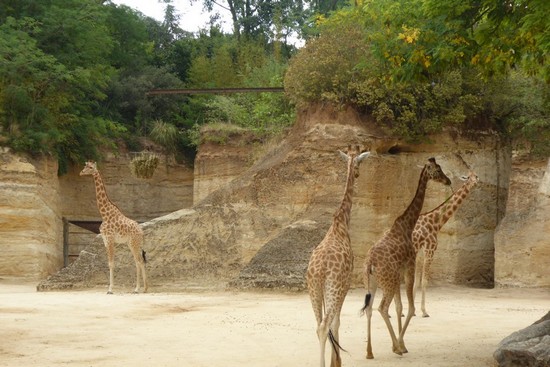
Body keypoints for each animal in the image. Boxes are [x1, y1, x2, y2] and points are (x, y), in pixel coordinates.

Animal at [80, 162, 149, 294]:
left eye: (90, 167)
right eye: (85, 166)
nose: (81, 172)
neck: (104, 214)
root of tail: (141, 232)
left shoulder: (110, 239)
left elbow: (111, 264)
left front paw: (110, 289)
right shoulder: (106, 240)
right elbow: (109, 263)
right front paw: (110, 288)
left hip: (133, 243)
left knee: (138, 262)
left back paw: (137, 289)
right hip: (133, 244)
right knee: (141, 261)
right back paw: (144, 289)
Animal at [306, 147, 370, 367]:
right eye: (360, 163)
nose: (358, 173)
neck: (341, 223)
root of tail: (319, 271)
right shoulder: (346, 284)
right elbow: (337, 322)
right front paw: (337, 361)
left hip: (314, 290)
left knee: (318, 325)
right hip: (332, 288)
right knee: (325, 325)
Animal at [362, 157, 452, 360]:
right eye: (438, 170)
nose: (448, 180)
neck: (407, 225)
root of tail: (370, 264)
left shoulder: (401, 270)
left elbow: (400, 307)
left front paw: (400, 344)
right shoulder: (409, 266)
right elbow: (409, 308)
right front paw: (400, 346)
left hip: (372, 282)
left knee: (370, 309)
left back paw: (370, 352)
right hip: (388, 281)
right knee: (381, 308)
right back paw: (393, 347)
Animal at [414, 171, 478, 318]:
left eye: (476, 176)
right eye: (468, 177)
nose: (475, 183)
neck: (436, 222)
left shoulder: (420, 253)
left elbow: (415, 281)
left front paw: (412, 311)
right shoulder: (430, 250)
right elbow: (424, 281)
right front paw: (424, 311)